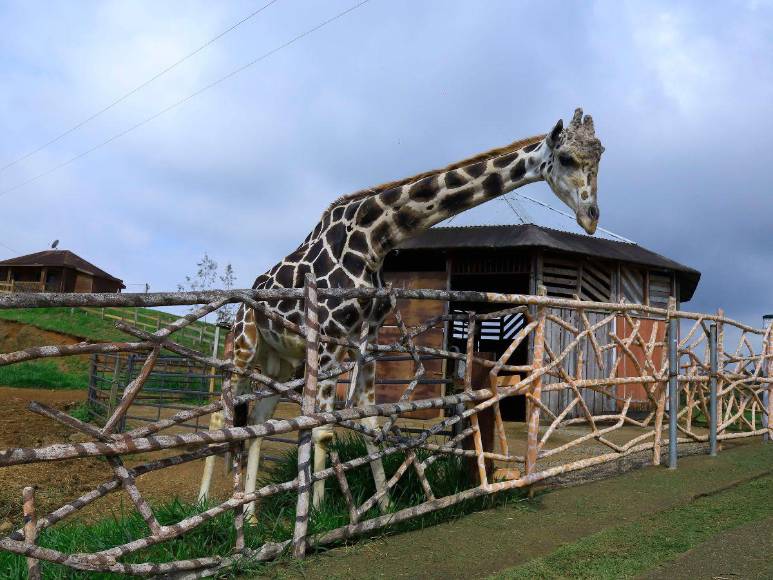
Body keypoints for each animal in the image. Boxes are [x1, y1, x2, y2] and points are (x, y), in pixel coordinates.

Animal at [199, 108, 604, 518]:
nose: (591, 217)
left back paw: (250, 517)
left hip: (279, 362)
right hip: (243, 348)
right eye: (566, 158)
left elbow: (370, 421)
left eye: (599, 156)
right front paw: (316, 516)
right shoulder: (330, 338)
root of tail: (242, 306)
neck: (375, 239)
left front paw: (385, 507)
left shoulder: (365, 340)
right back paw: (207, 504)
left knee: (257, 421)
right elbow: (322, 429)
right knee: (220, 415)